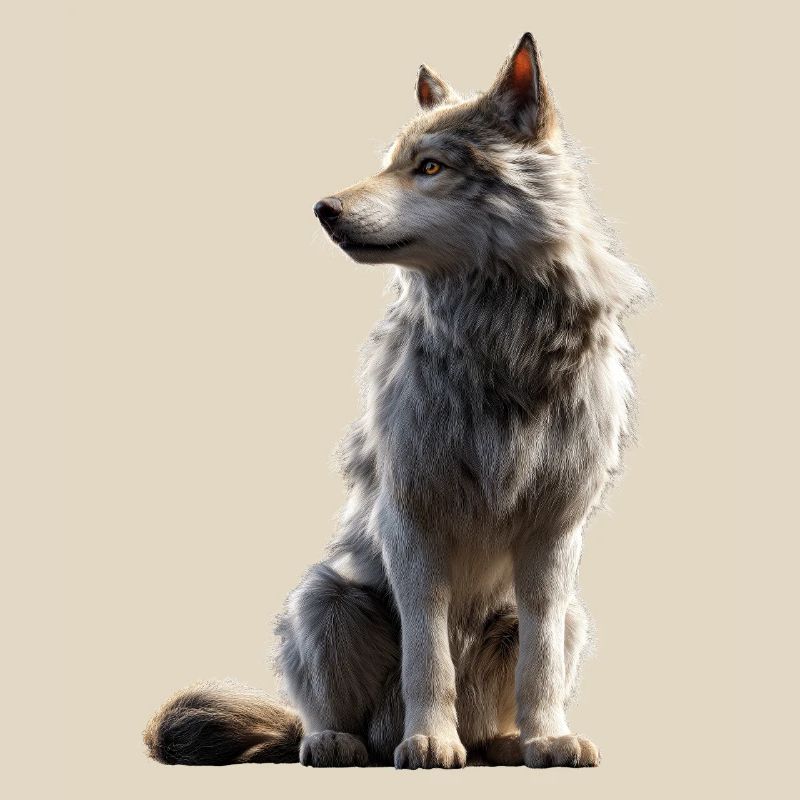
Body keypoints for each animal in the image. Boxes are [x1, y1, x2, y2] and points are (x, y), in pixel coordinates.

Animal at [144, 33, 647, 769]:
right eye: (390, 164)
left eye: (429, 167)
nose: (324, 210)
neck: (499, 341)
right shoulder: (411, 519)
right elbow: (427, 654)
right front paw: (429, 741)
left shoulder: (554, 533)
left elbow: (542, 664)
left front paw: (548, 740)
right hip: (325, 599)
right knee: (324, 716)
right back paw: (341, 742)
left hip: (567, 616)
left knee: (513, 690)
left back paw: (502, 744)